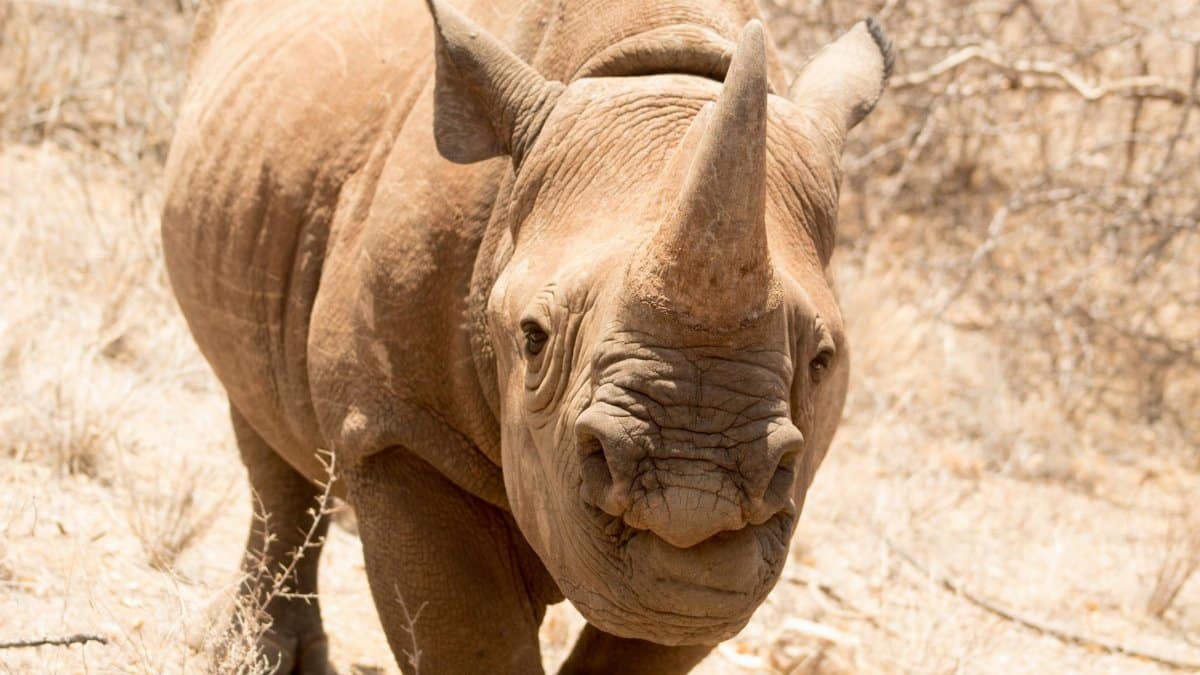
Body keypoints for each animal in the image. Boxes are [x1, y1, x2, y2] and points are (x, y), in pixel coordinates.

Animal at [162, 0, 892, 672]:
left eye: (823, 360)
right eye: (534, 337)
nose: (690, 498)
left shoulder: (711, 573)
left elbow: (657, 627)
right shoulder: (404, 428)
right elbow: (473, 640)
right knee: (264, 426)